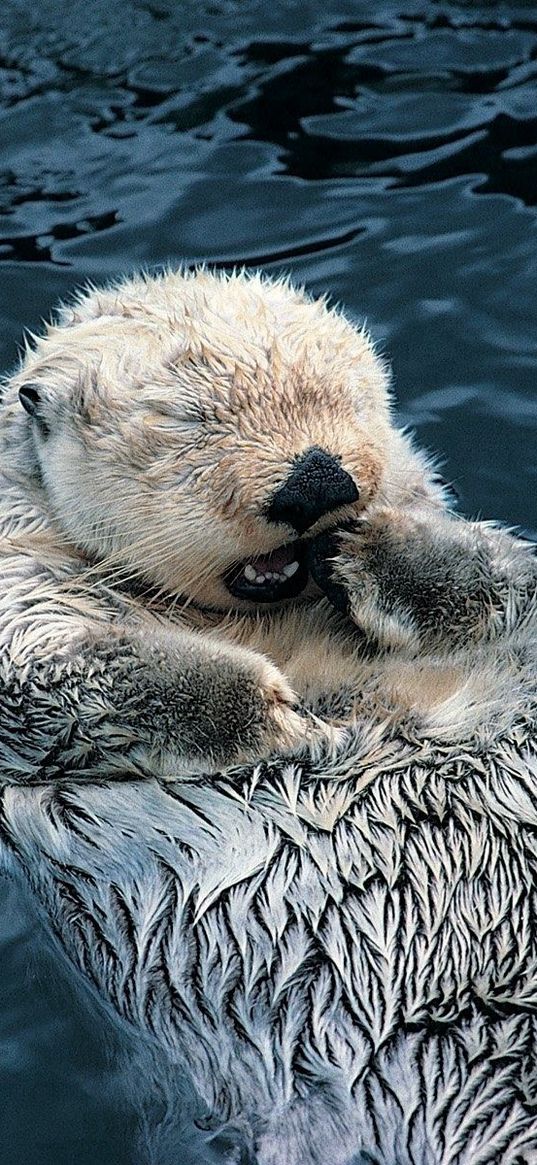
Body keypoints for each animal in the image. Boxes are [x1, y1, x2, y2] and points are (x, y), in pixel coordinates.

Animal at [0, 266, 533, 1165]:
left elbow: (504, 577)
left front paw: (372, 551)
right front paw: (267, 710)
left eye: (343, 394)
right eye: (188, 420)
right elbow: (42, 669)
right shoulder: (19, 580)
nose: (319, 482)